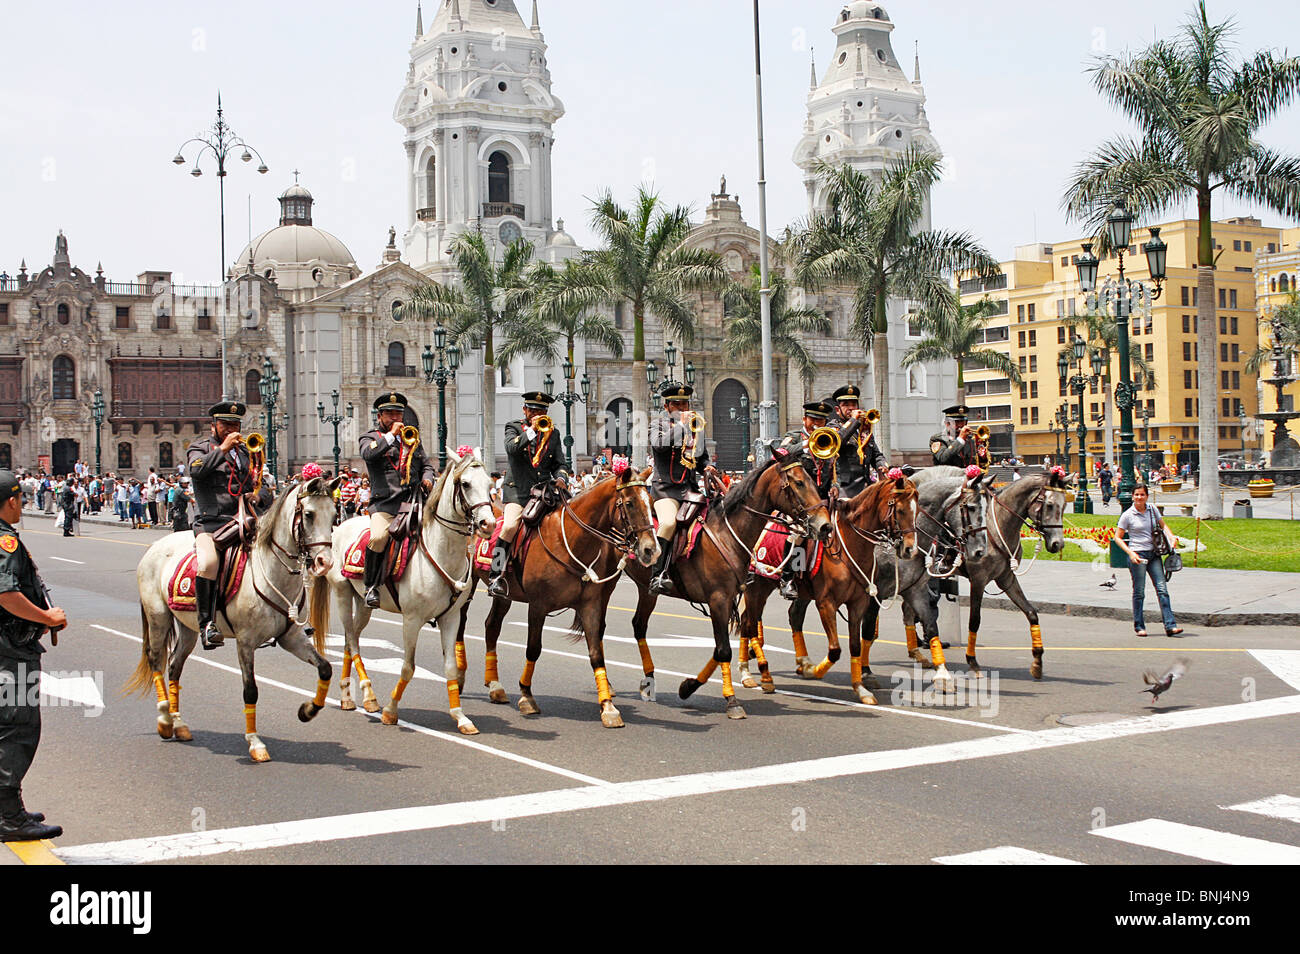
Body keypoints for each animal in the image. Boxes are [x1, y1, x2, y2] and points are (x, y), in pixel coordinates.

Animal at [125, 478, 340, 764]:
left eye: (335, 515)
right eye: (309, 514)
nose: (324, 562)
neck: (272, 571)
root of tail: (157, 545)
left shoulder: (291, 638)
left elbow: (325, 668)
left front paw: (307, 710)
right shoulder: (245, 643)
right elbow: (251, 690)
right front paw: (255, 742)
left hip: (188, 627)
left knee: (174, 666)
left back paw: (179, 723)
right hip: (158, 617)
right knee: (155, 659)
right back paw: (164, 719)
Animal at [317, 452, 493, 738]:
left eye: (489, 483)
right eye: (465, 484)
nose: (488, 523)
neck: (441, 550)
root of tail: (341, 525)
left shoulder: (451, 618)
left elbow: (450, 667)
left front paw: (460, 716)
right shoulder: (411, 620)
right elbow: (408, 667)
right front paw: (390, 711)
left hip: (363, 604)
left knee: (349, 640)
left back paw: (347, 697)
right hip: (342, 595)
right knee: (352, 642)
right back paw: (369, 696)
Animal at [454, 462, 665, 722]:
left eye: (651, 502)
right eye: (629, 503)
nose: (651, 550)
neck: (571, 540)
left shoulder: (590, 604)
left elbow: (596, 652)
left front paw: (607, 706)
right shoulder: (538, 606)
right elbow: (533, 649)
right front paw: (527, 696)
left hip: (505, 595)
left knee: (492, 627)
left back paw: (495, 686)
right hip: (467, 584)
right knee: (460, 624)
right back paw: (459, 677)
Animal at [621, 454, 826, 717]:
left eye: (812, 479)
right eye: (799, 482)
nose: (824, 524)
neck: (727, 533)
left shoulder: (728, 600)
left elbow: (721, 647)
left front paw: (688, 687)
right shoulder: (718, 600)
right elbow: (724, 650)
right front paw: (732, 700)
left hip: (646, 591)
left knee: (639, 625)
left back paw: (648, 681)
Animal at [738, 475, 920, 707]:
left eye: (917, 510)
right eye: (900, 510)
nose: (910, 550)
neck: (849, 546)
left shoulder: (858, 604)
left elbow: (855, 646)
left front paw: (860, 688)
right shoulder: (826, 603)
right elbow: (835, 650)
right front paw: (812, 671)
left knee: (780, 618)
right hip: (758, 588)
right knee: (749, 623)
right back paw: (755, 675)